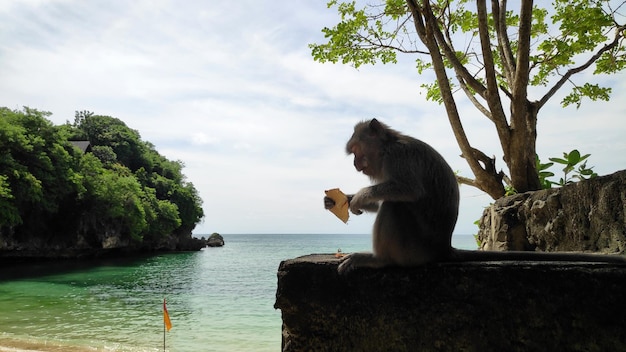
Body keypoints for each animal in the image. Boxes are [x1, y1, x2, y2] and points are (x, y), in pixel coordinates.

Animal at [326, 119, 624, 276]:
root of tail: (443, 248)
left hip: (414, 248)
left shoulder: (398, 157)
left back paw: (380, 260)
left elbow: (408, 190)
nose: (355, 163)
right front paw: (344, 200)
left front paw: (359, 197)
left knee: (396, 207)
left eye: (357, 150)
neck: (388, 146)